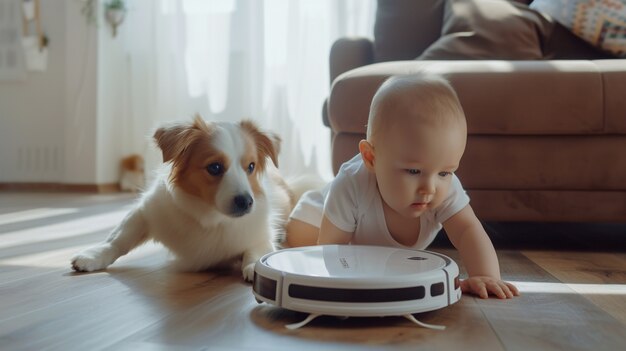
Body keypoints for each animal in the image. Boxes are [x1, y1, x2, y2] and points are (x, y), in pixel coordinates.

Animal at [69, 117, 294, 282]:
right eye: (215, 167)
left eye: (251, 166)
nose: (246, 202)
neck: (210, 218)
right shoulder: (146, 212)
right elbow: (119, 239)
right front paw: (93, 256)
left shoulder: (261, 234)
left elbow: (256, 249)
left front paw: (254, 266)